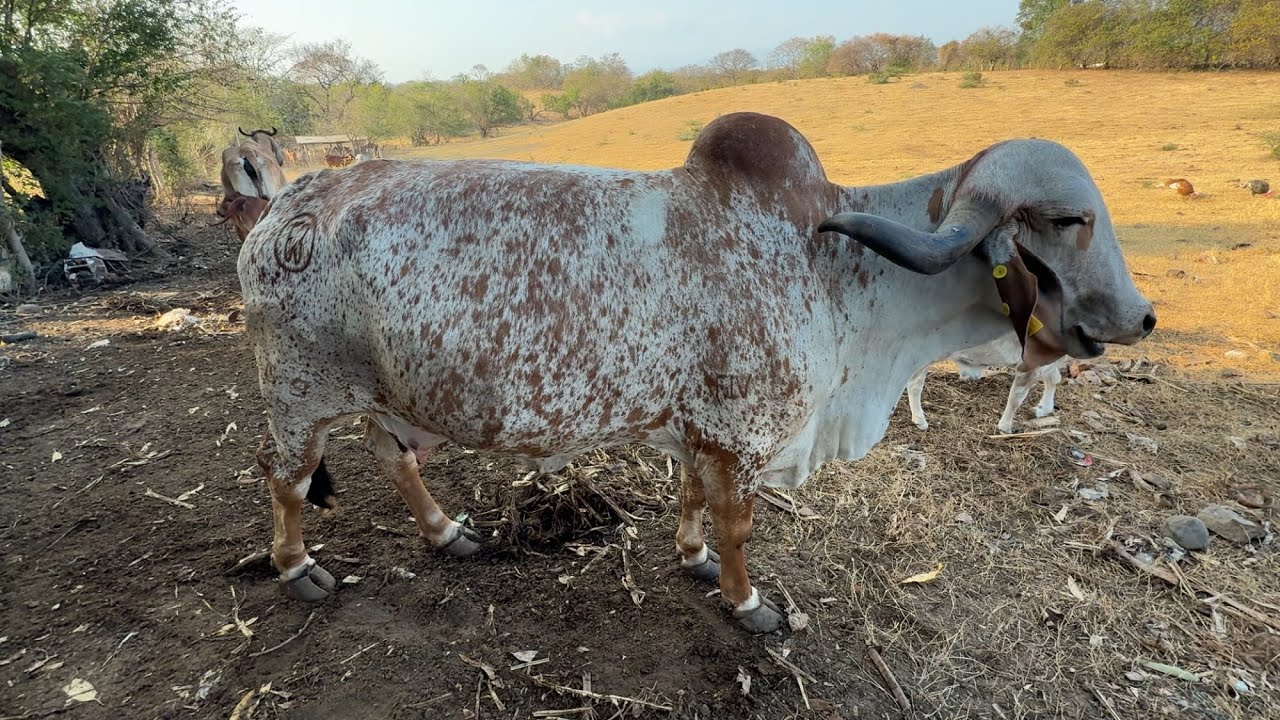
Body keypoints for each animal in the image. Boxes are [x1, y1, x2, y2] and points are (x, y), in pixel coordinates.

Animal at [238, 112, 1155, 633]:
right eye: (1069, 220)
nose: (1141, 316)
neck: (833, 266)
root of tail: (287, 206)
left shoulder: (700, 431)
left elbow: (690, 505)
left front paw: (692, 558)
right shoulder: (742, 438)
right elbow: (739, 528)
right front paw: (749, 605)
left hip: (379, 394)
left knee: (391, 457)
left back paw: (445, 531)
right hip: (297, 397)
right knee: (285, 479)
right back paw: (296, 568)